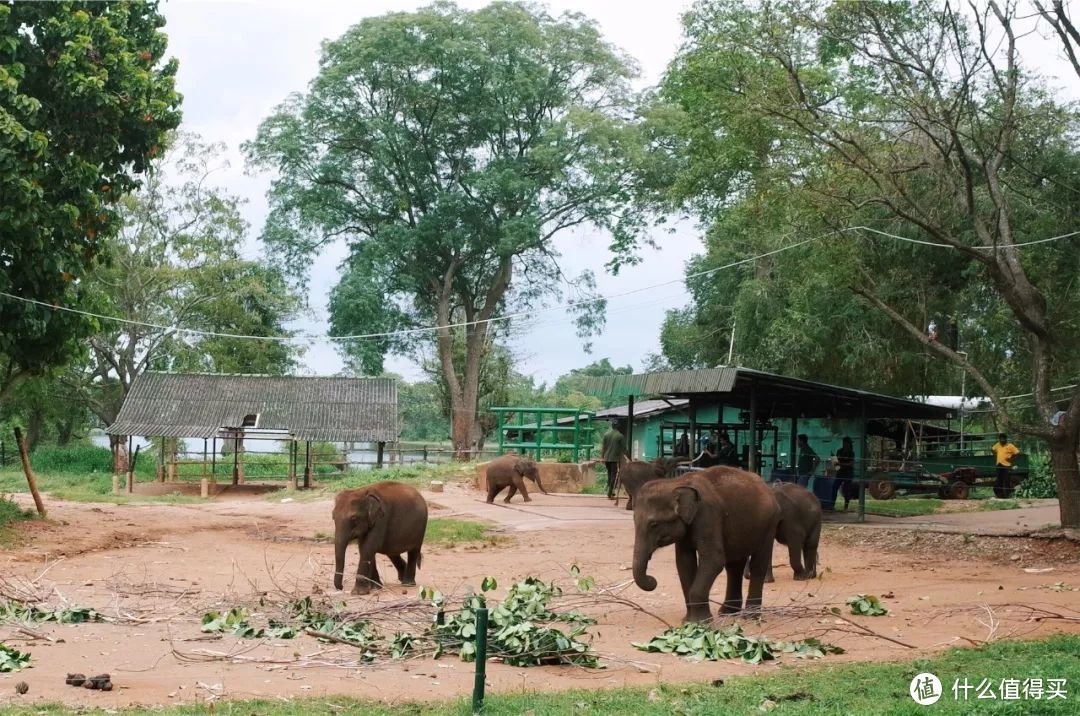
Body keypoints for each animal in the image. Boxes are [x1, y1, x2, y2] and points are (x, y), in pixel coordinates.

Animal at [630, 468, 777, 626]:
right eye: (634, 520)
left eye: (654, 524)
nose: (653, 580)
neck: (677, 482)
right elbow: (684, 561)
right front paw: (688, 621)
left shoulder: (708, 516)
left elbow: (713, 560)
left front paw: (701, 622)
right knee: (734, 567)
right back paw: (728, 612)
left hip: (769, 524)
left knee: (758, 564)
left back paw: (751, 616)